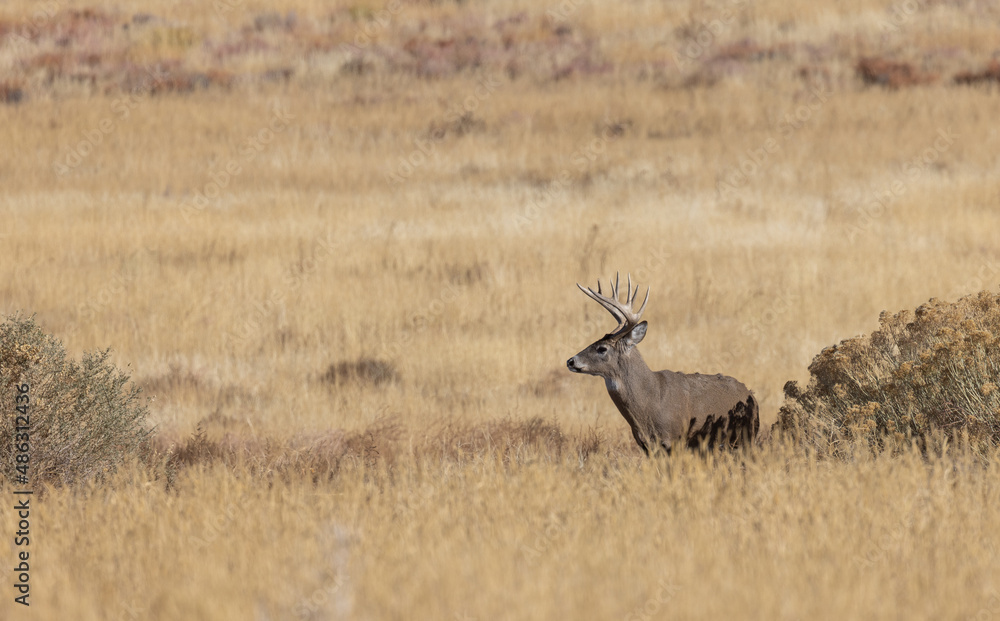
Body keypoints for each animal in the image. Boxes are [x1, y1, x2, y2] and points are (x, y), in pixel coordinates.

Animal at [566, 274, 759, 455]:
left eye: (602, 348)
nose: (570, 361)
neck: (651, 401)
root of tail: (751, 395)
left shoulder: (675, 440)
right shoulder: (646, 446)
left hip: (745, 438)